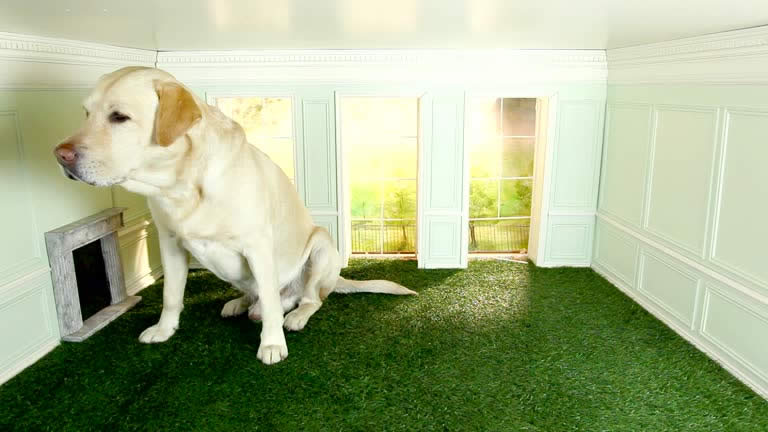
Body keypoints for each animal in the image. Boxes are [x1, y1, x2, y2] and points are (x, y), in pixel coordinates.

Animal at [53, 66, 414, 364]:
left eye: (119, 117)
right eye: (86, 113)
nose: (60, 155)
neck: (182, 185)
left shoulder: (258, 246)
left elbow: (270, 301)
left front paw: (271, 344)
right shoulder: (170, 243)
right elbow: (171, 295)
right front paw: (164, 329)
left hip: (321, 247)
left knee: (308, 299)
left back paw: (294, 315)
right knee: (263, 296)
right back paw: (240, 304)